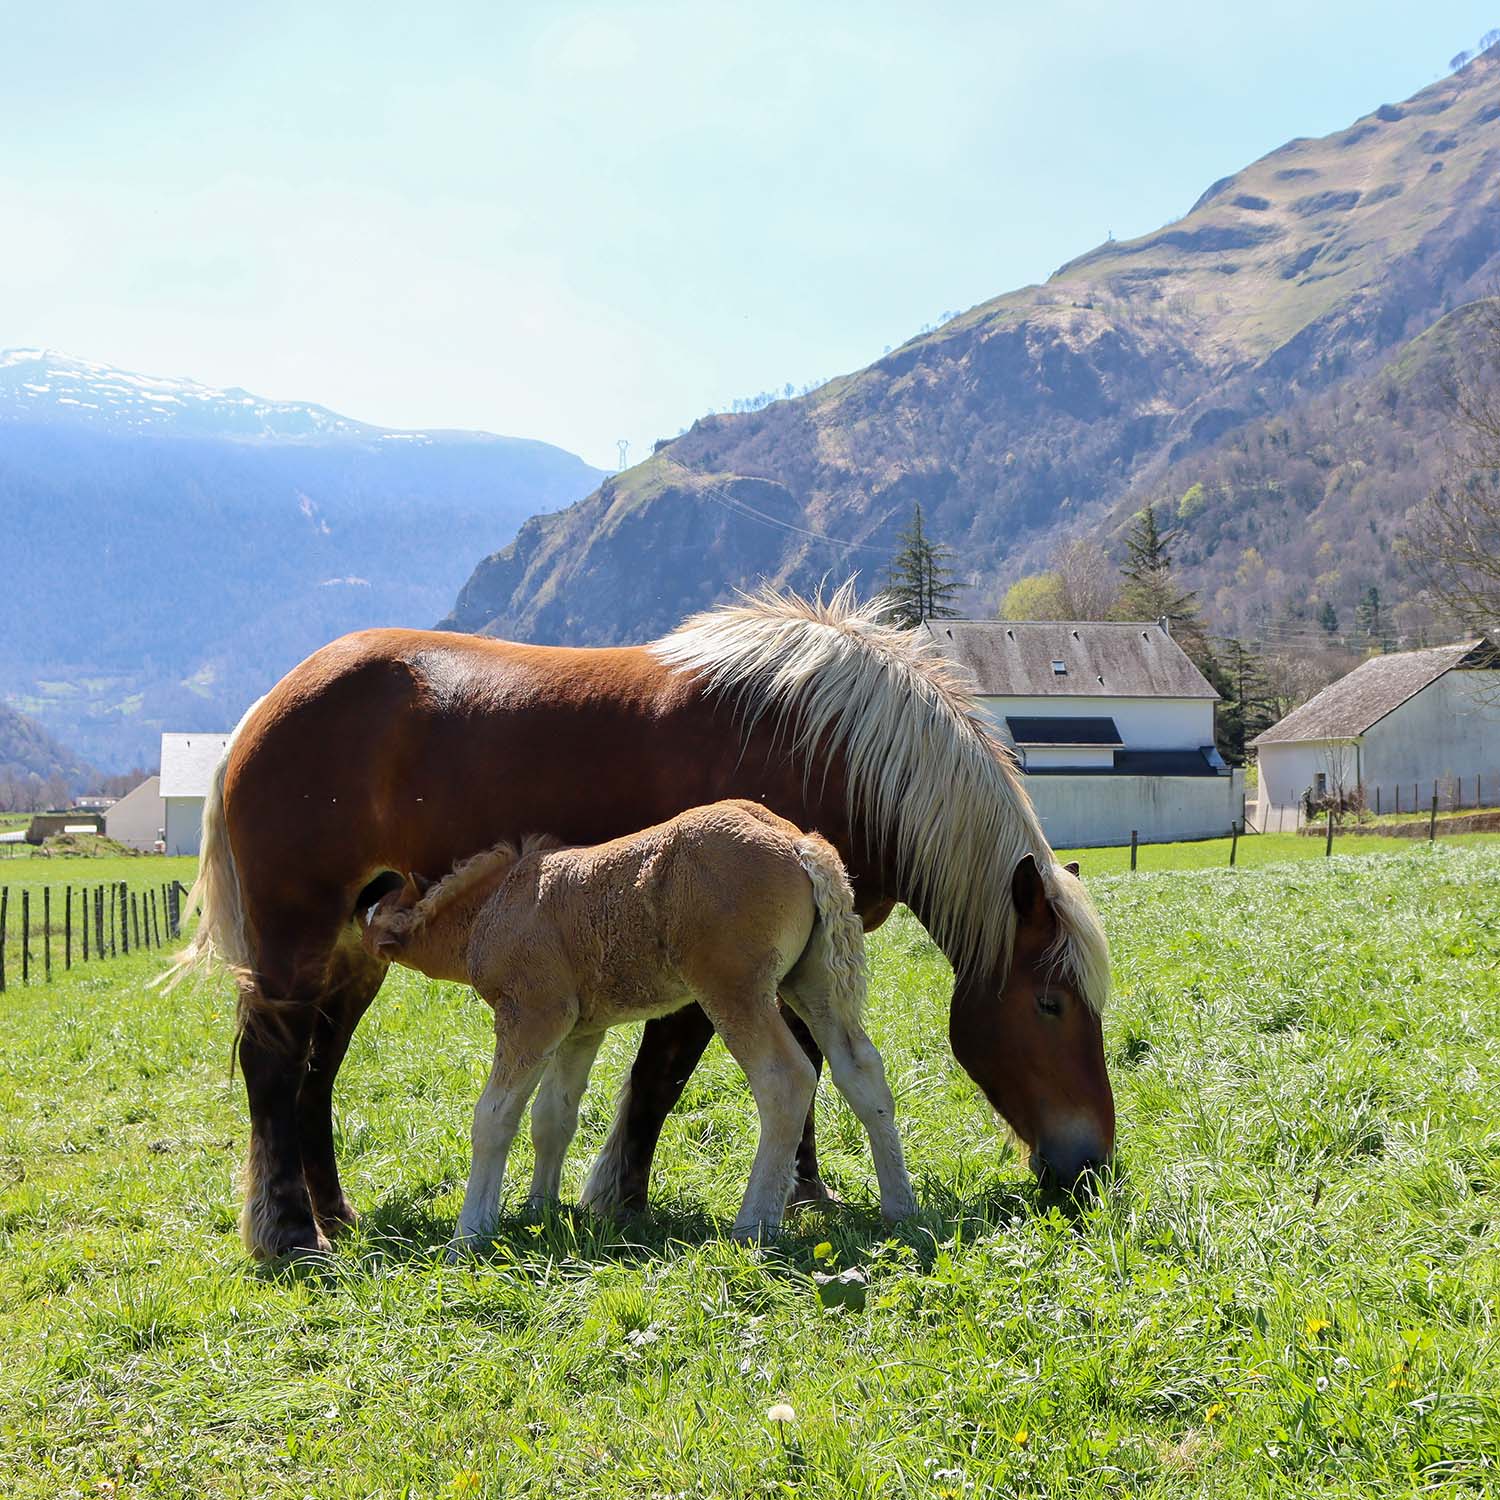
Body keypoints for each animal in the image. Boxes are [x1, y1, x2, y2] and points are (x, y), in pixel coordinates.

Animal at [359, 800, 916, 1248]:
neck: (496, 908)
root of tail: (798, 843)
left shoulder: (533, 1014)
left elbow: (494, 1117)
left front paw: (470, 1234)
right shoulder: (581, 1027)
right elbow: (553, 1116)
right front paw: (539, 1208)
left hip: (734, 988)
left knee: (785, 1079)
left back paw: (753, 1226)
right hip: (813, 980)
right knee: (861, 1070)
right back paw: (901, 1209)